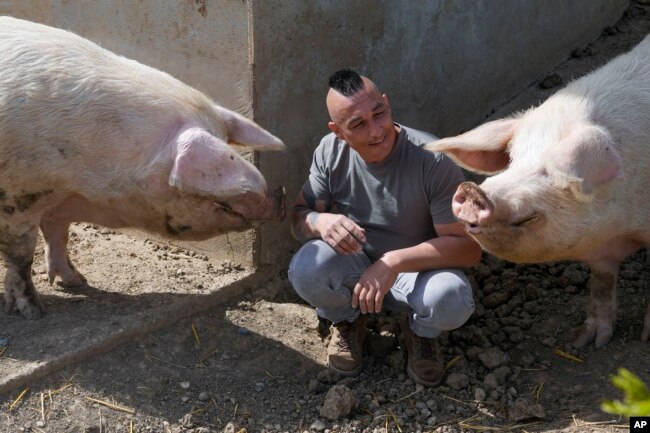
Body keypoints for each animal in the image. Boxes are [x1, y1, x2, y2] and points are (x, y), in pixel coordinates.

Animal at [0, 16, 284, 318]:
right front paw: (34, 312)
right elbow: (21, 256)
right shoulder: (17, 196)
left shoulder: (57, 197)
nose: (280, 197)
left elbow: (58, 235)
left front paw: (78, 282)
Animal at [422, 35, 648, 350]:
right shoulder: (602, 249)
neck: (623, 227)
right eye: (513, 158)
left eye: (551, 170)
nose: (471, 189)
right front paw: (587, 342)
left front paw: (644, 337)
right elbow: (601, 285)